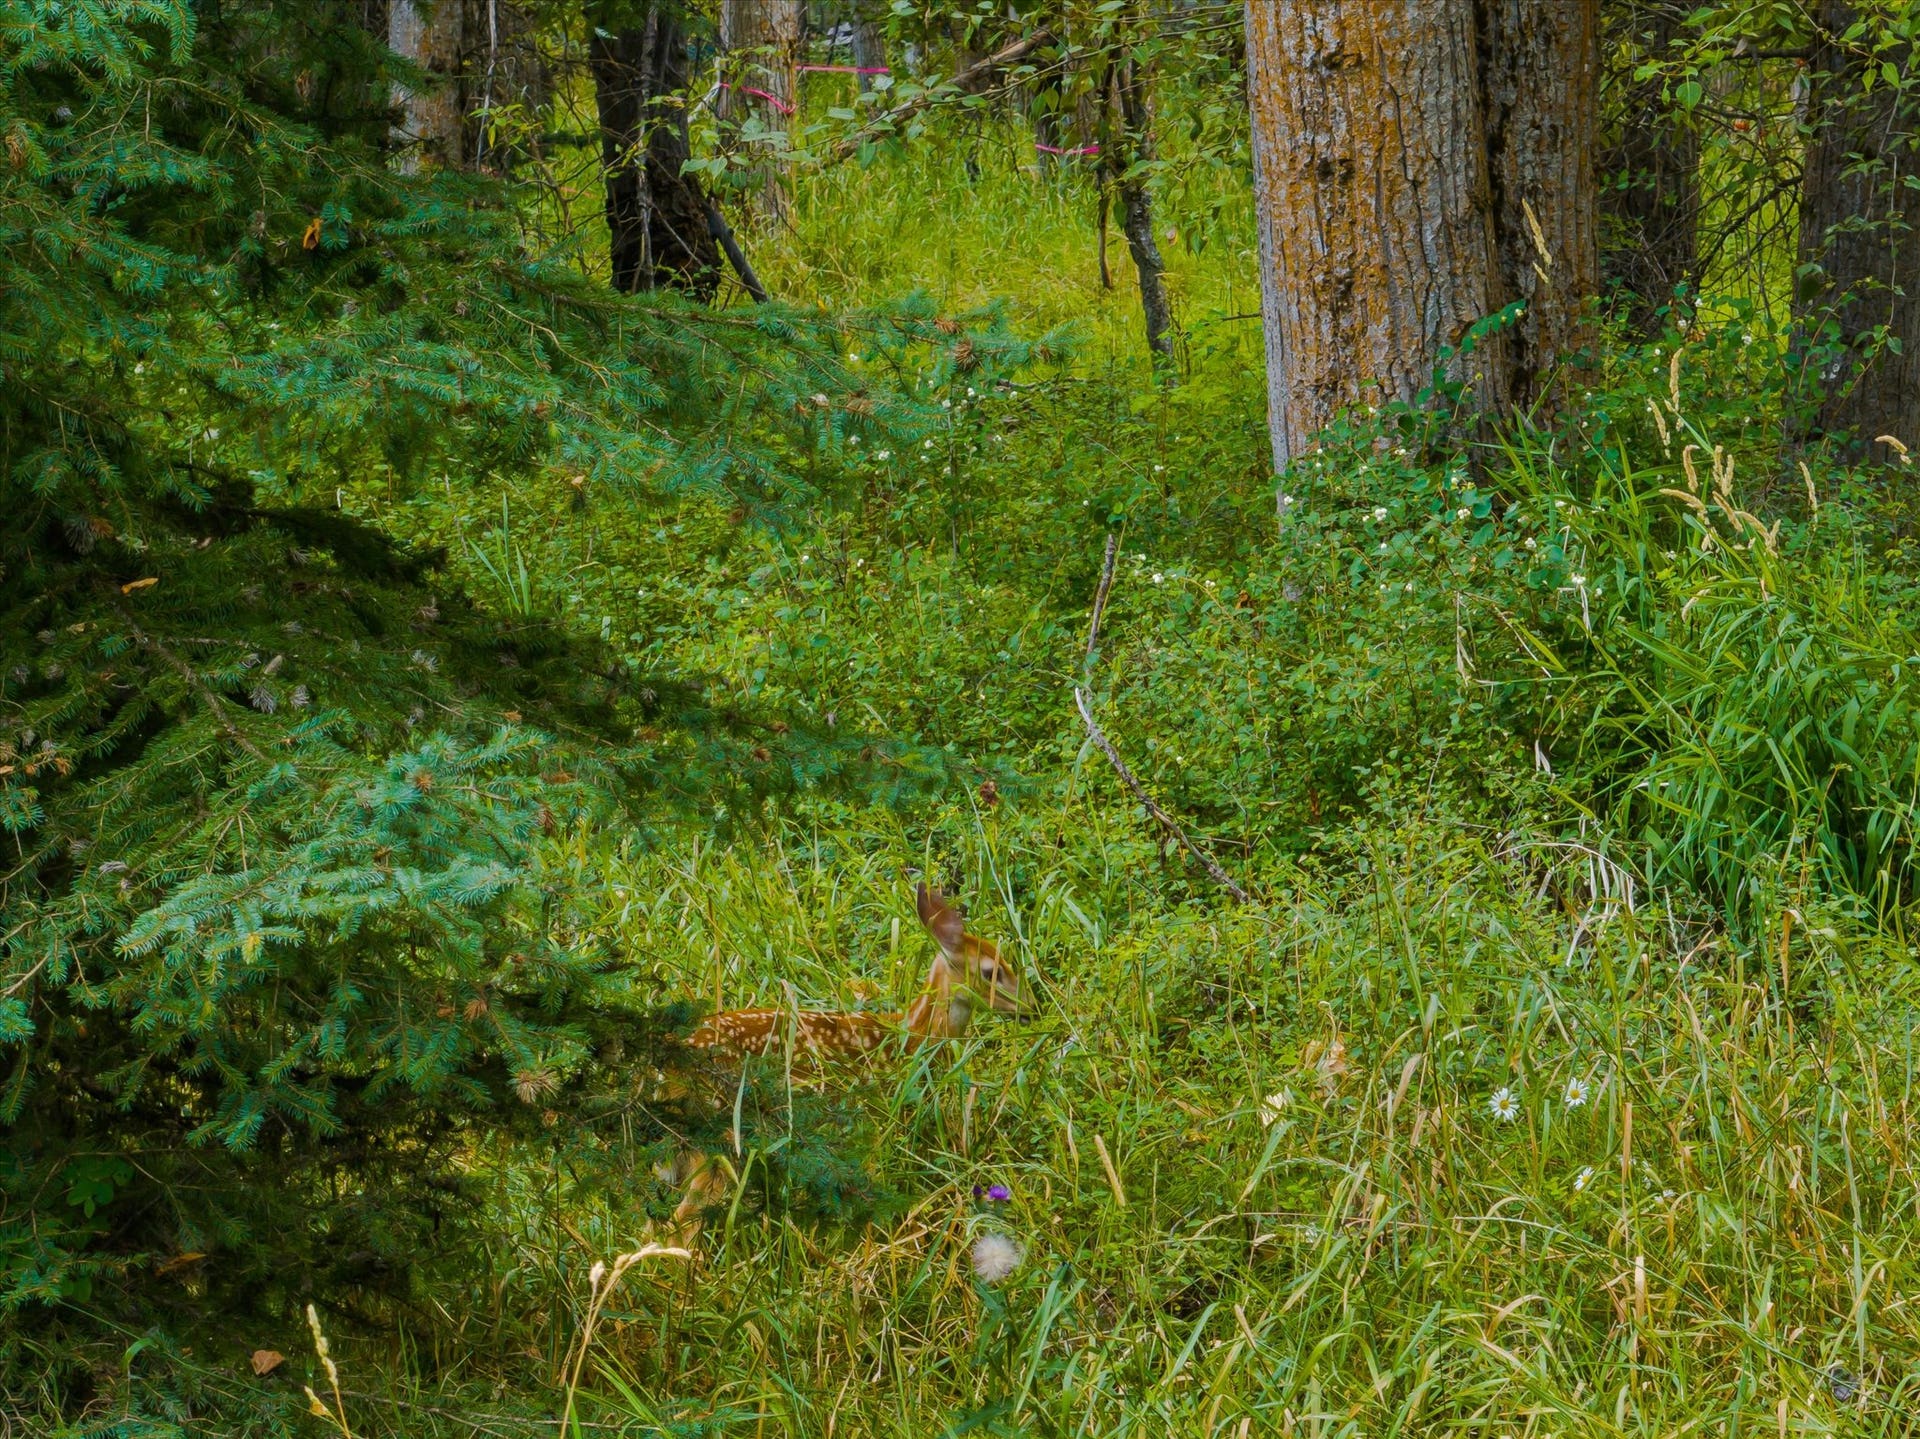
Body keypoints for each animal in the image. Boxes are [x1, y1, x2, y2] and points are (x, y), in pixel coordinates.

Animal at [654, 882, 1021, 1250]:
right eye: (992, 971)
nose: (1027, 1006)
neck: (909, 1037)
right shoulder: (872, 1123)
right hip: (720, 1138)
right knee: (679, 1224)